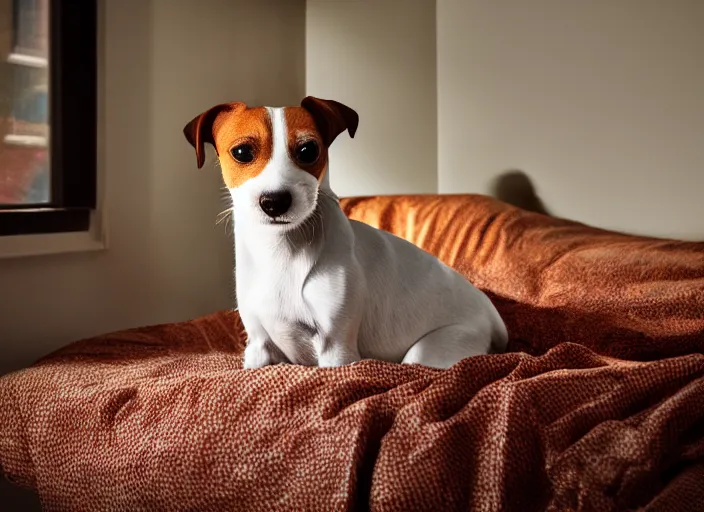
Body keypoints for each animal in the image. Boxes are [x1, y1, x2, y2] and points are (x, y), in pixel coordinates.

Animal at [184, 96, 508, 368]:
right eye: (241, 152)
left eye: (308, 150)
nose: (275, 201)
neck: (282, 253)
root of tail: (493, 316)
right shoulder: (258, 348)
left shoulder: (336, 348)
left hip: (430, 351)